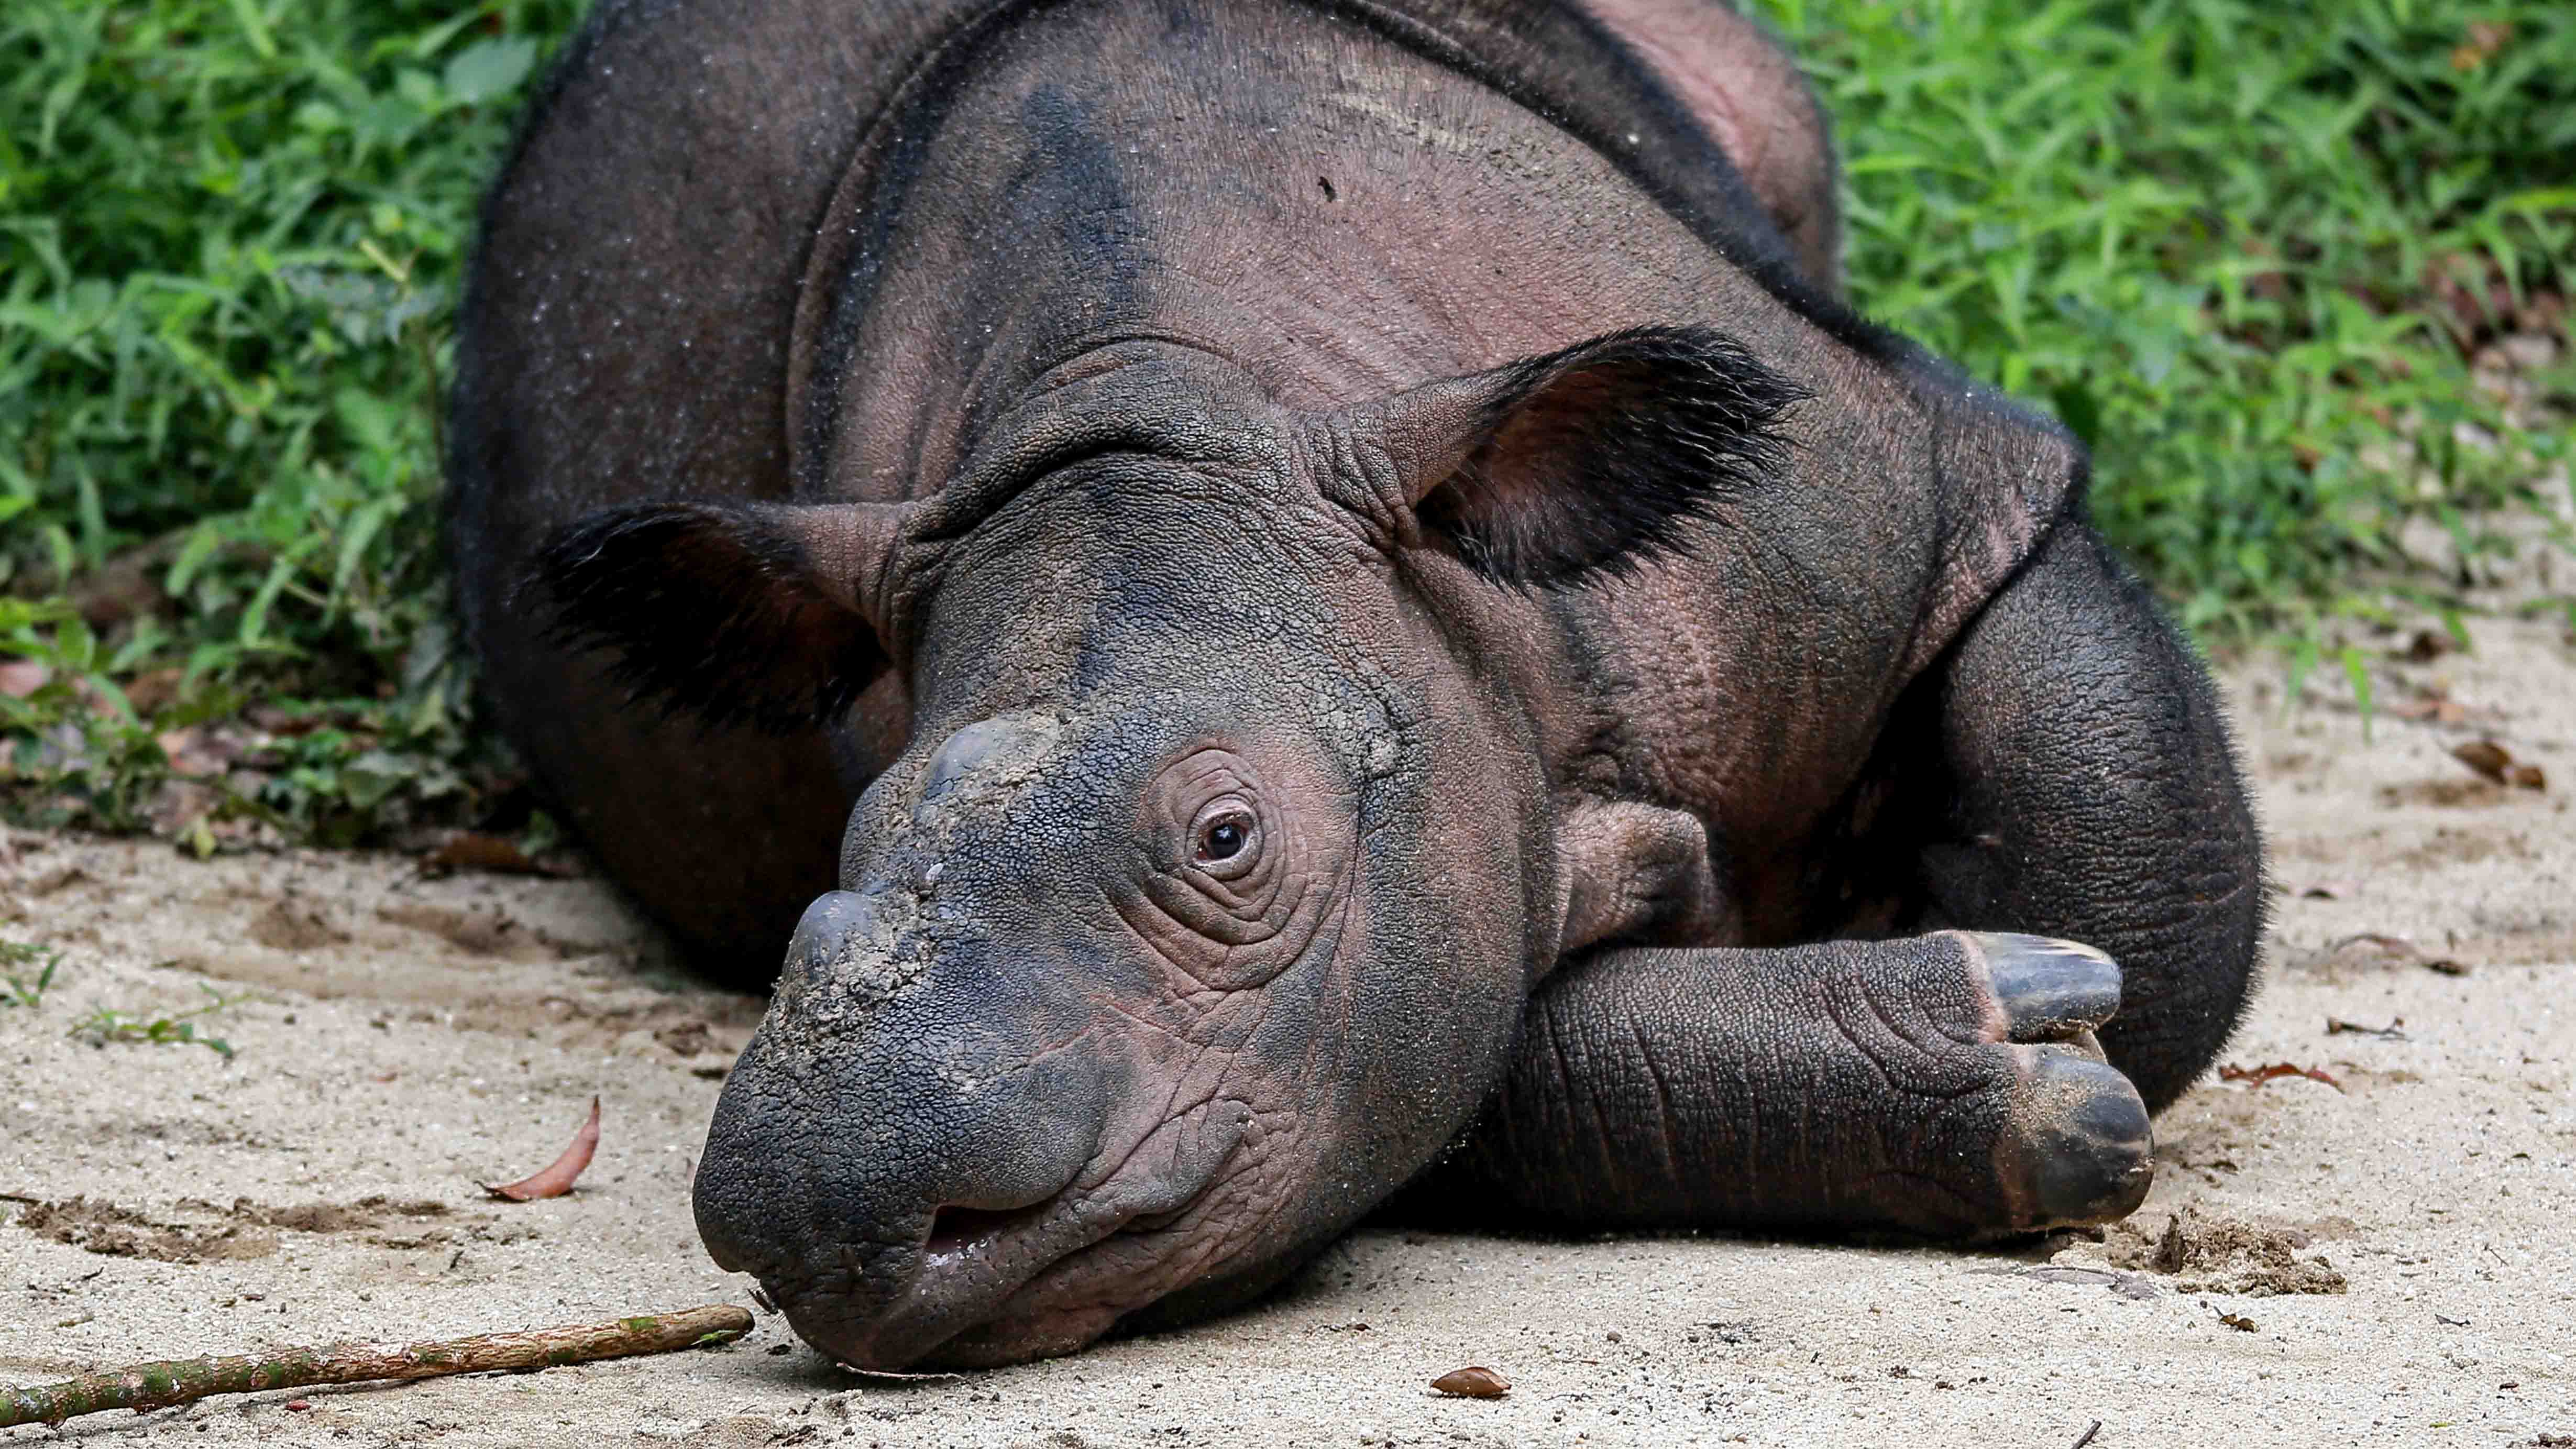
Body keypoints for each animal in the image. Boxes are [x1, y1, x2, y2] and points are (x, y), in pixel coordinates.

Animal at [447, 0, 2263, 1370]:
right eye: (853, 835)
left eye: (1227, 840)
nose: (823, 1214)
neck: (1172, 396)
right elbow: (1467, 1045)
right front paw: (2012, 1052)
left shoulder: (1935, 481)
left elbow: (2126, 848)